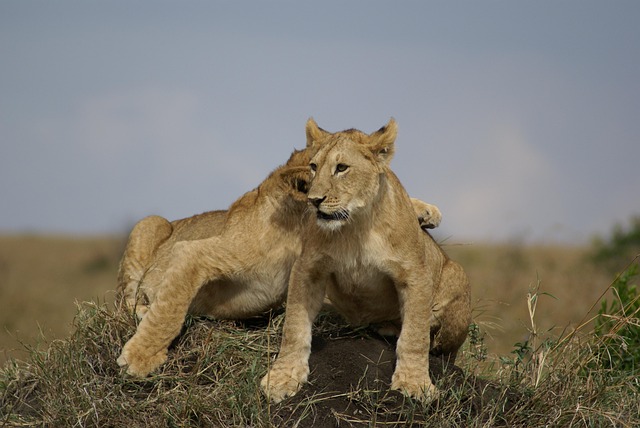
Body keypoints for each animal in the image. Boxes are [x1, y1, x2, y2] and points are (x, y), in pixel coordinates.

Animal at [116, 147, 443, 377]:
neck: (301, 232)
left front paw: (424, 210)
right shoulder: (193, 252)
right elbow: (170, 307)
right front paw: (140, 357)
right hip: (148, 224)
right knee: (125, 302)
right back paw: (142, 311)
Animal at [261, 119, 471, 403]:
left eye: (341, 168)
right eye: (314, 167)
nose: (314, 201)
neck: (355, 226)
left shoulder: (414, 274)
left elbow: (415, 335)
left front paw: (414, 383)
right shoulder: (307, 268)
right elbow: (294, 326)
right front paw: (283, 376)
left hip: (458, 279)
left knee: (443, 350)